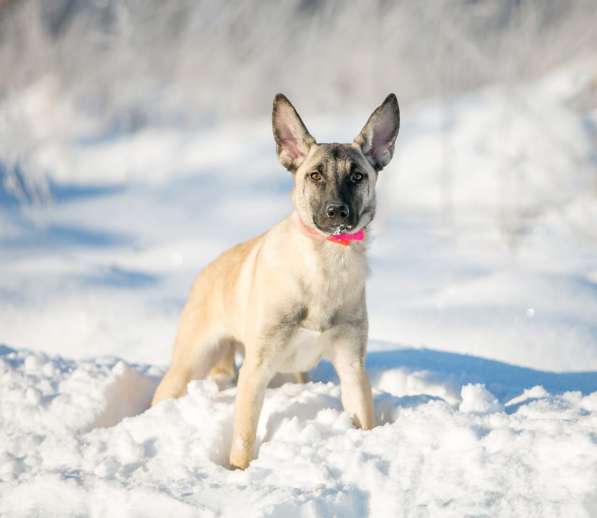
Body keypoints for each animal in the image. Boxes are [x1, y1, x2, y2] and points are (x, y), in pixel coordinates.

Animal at [151, 93, 398, 472]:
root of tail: (207, 270)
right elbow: (243, 437)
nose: (336, 212)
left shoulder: (351, 365)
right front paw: (240, 473)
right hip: (191, 363)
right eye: (315, 175)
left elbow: (363, 417)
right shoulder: (257, 370)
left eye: (357, 176)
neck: (325, 263)